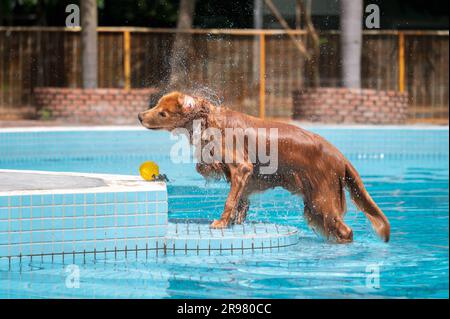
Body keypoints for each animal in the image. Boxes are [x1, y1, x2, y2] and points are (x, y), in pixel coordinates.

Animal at [138, 91, 390, 244]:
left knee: (346, 230)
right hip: (314, 205)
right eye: (157, 104)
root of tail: (339, 156)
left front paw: (221, 222)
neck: (208, 119)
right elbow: (239, 199)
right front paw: (235, 220)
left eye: (162, 113)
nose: (140, 116)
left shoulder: (241, 167)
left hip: (322, 201)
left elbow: (230, 200)